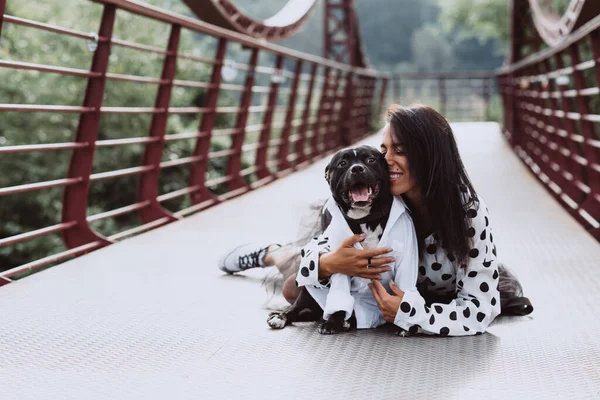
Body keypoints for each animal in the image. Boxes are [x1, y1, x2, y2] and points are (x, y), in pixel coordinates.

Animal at [266, 145, 394, 332]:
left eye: (371, 160)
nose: (357, 169)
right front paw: (334, 320)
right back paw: (281, 317)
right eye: (342, 163)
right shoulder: (341, 261)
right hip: (308, 289)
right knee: (297, 306)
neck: (363, 218)